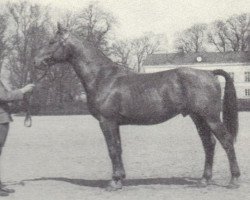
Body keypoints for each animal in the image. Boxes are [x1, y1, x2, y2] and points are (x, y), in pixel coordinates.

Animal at [34, 22, 239, 190]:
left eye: (52, 41)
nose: (36, 61)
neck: (103, 77)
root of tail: (209, 73)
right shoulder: (114, 123)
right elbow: (118, 148)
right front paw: (120, 179)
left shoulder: (106, 122)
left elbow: (112, 150)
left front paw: (114, 182)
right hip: (198, 118)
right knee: (209, 144)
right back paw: (204, 180)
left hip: (211, 117)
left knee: (226, 142)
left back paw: (234, 180)